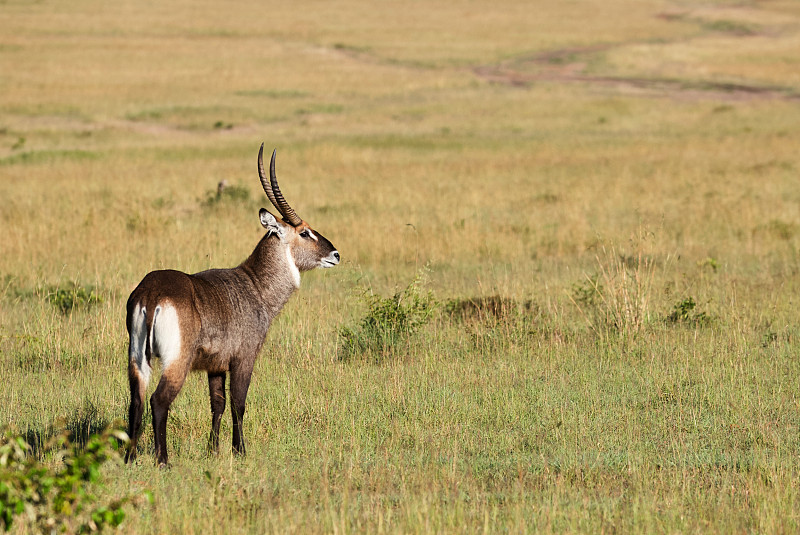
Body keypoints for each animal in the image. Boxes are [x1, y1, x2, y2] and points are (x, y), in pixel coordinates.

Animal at [125, 144, 340, 466]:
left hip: (138, 358)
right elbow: (239, 403)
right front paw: (240, 451)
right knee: (158, 400)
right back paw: (163, 460)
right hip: (176, 360)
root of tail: (152, 293)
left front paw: (212, 451)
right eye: (304, 232)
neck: (255, 285)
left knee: (136, 401)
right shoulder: (244, 357)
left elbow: (218, 404)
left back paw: (129, 458)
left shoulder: (216, 365)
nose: (336, 254)